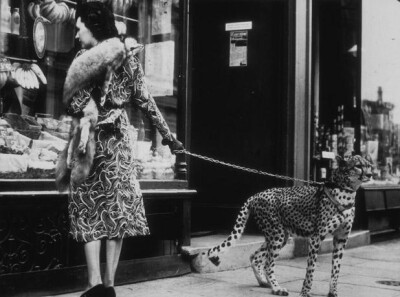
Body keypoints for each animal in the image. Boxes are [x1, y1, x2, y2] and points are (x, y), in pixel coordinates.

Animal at [208, 155, 374, 296]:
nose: (371, 174)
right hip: (277, 235)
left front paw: (333, 292)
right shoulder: (316, 237)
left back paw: (264, 282)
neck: (346, 191)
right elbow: (311, 269)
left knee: (255, 256)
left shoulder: (341, 239)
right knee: (268, 264)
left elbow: (336, 269)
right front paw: (305, 292)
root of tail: (256, 195)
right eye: (358, 166)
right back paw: (277, 288)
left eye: (369, 165)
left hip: (280, 236)